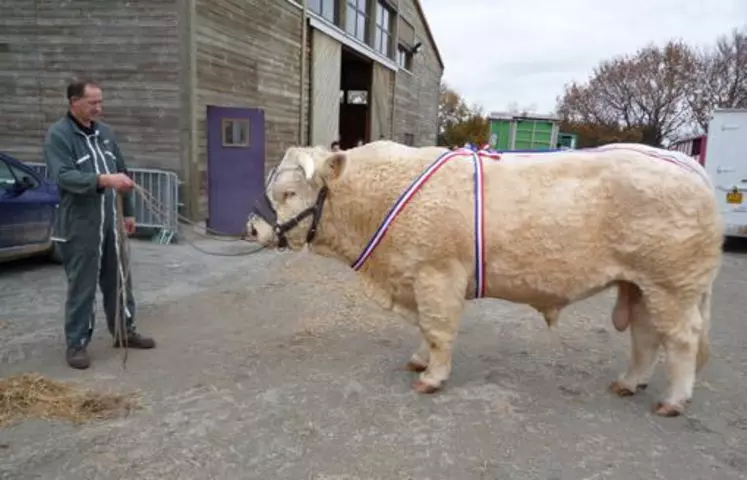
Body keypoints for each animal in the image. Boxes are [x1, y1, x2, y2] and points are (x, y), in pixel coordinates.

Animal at [247, 140, 724, 416]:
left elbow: (438, 328)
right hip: (642, 285)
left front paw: (432, 377)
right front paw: (419, 360)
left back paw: (673, 401)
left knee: (681, 340)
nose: (252, 229)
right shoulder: (415, 277)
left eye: (289, 193)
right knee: (646, 337)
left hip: (672, 285)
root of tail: (684, 162)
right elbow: (423, 327)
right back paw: (628, 383)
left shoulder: (437, 274)